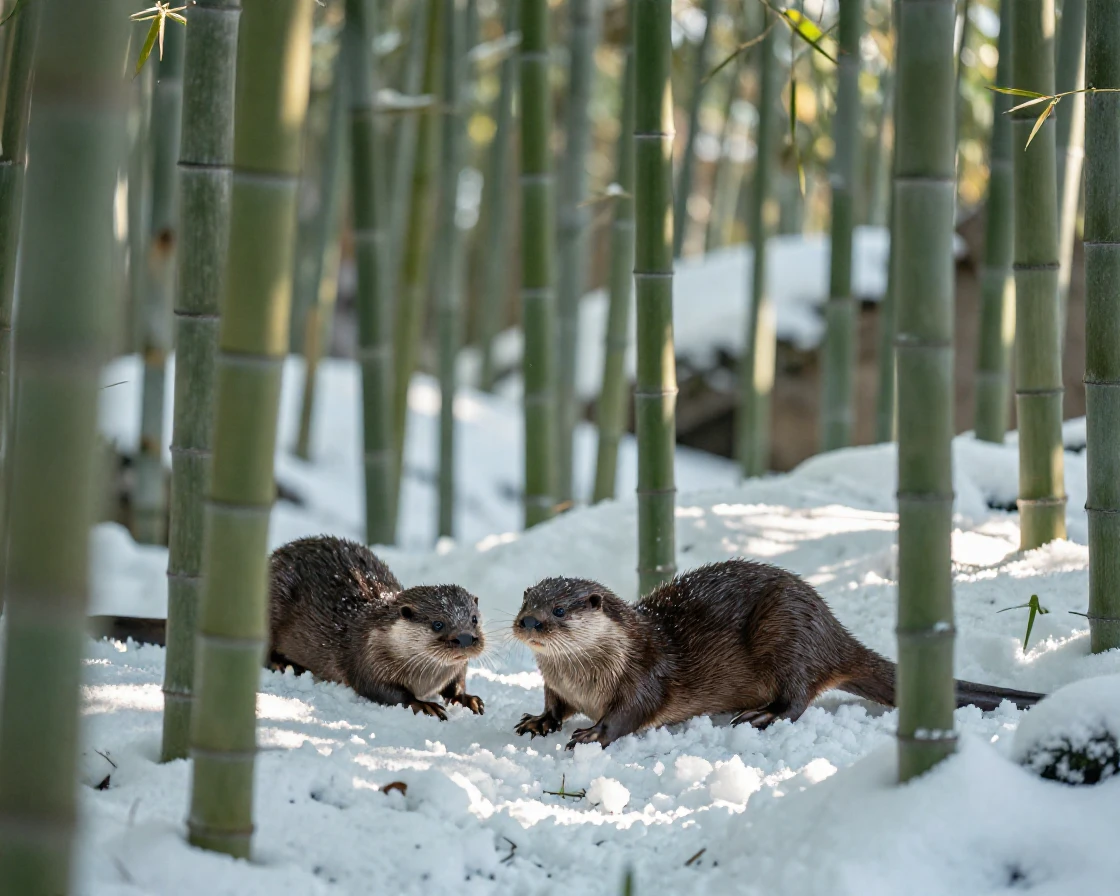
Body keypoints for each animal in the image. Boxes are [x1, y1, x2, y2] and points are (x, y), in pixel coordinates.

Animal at [269, 535, 486, 720]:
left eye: (474, 619)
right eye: (438, 624)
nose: (465, 638)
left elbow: (457, 682)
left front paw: (467, 699)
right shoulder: (367, 658)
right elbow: (378, 689)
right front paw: (425, 705)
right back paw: (282, 664)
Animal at [511, 560, 1044, 748]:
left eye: (558, 609)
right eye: (524, 601)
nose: (527, 624)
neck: (587, 678)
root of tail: (833, 631)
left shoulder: (645, 670)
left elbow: (632, 711)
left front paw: (592, 733)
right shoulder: (557, 684)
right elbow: (553, 704)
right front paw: (539, 721)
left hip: (786, 631)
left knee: (799, 696)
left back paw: (759, 715)